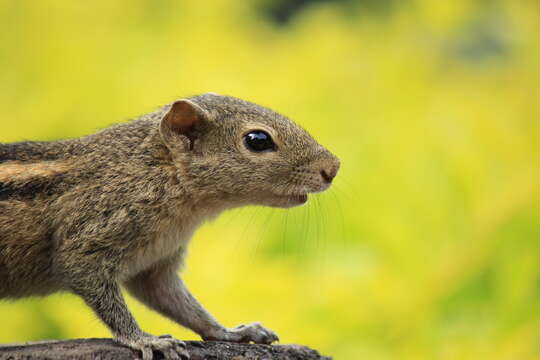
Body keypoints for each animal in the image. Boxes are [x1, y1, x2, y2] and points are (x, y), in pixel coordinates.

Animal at [0, 93, 338, 360]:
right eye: (258, 140)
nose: (333, 167)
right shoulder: (88, 239)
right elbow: (96, 287)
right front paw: (143, 339)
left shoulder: (155, 265)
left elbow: (180, 303)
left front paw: (231, 332)